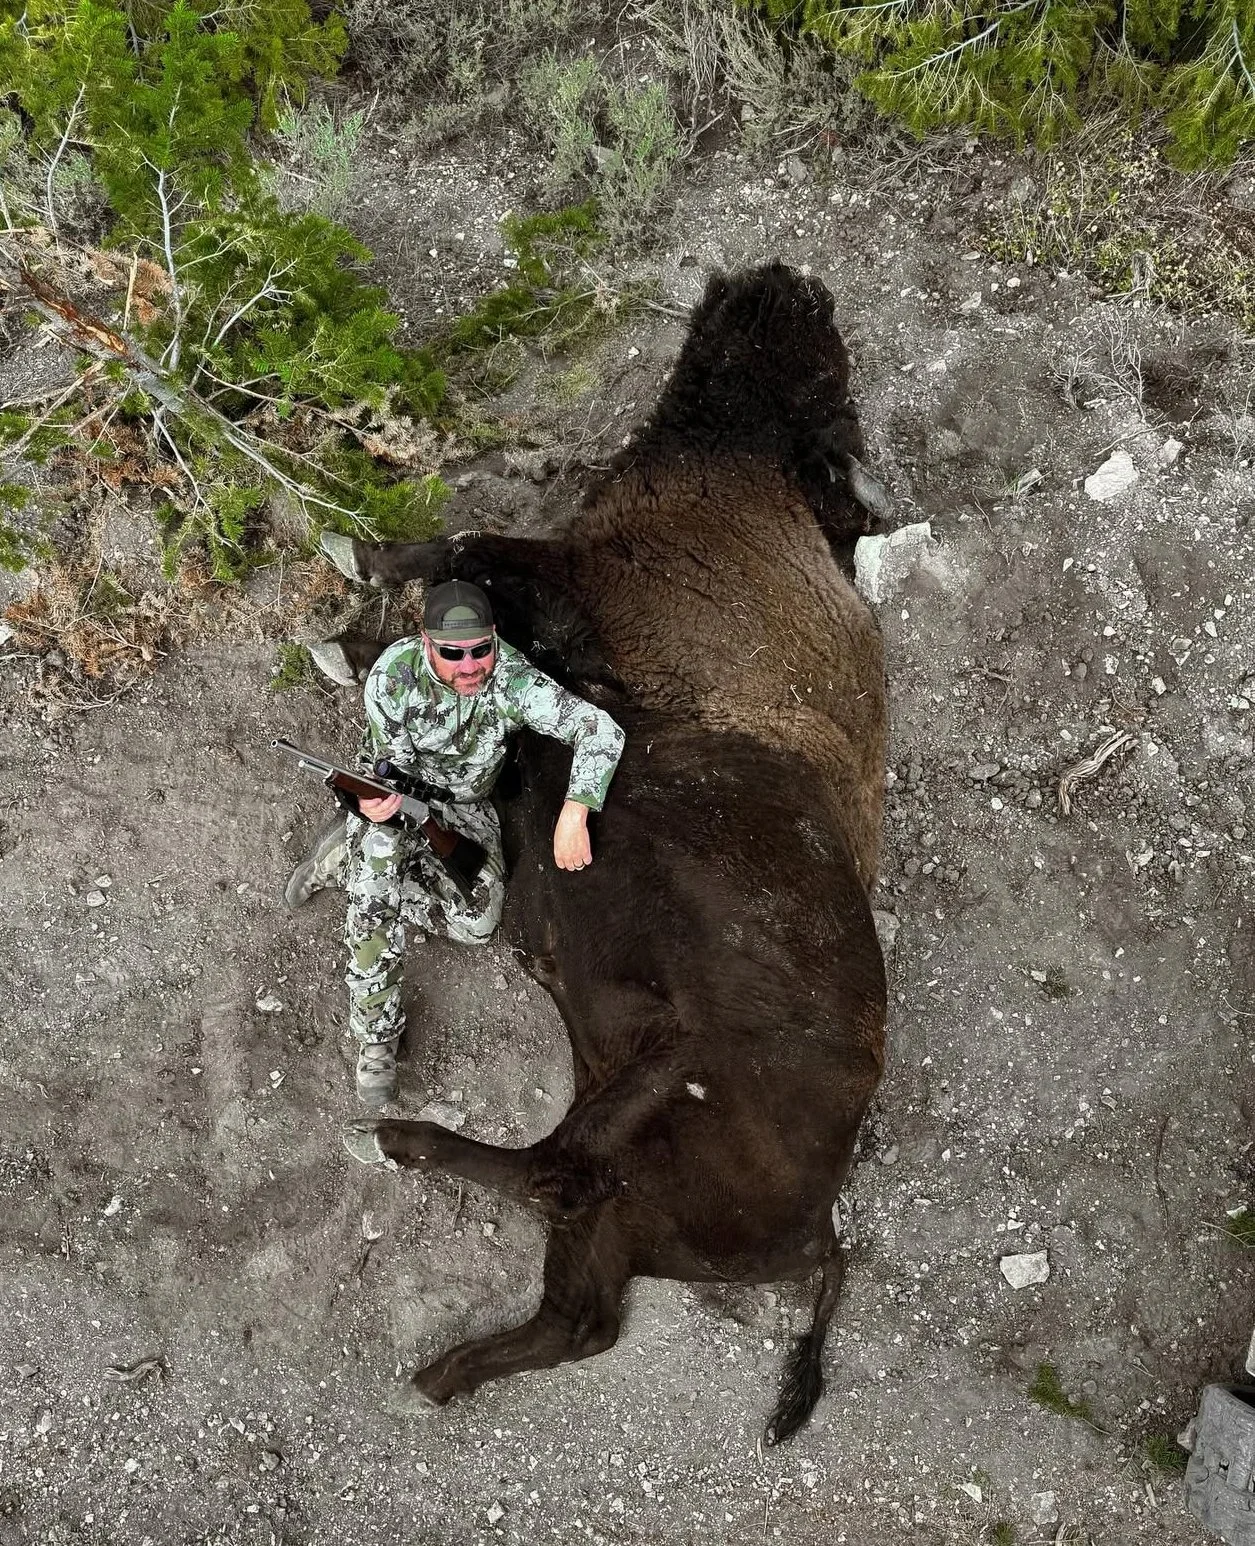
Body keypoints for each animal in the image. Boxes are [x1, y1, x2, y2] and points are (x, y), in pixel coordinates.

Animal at [335, 262, 888, 1442]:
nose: (782, 285)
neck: (743, 467)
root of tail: (822, 1225)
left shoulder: (570, 581)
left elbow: (473, 546)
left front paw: (364, 559)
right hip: (628, 1161)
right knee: (578, 1305)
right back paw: (440, 1372)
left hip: (654, 1078)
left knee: (555, 1178)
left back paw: (398, 1145)